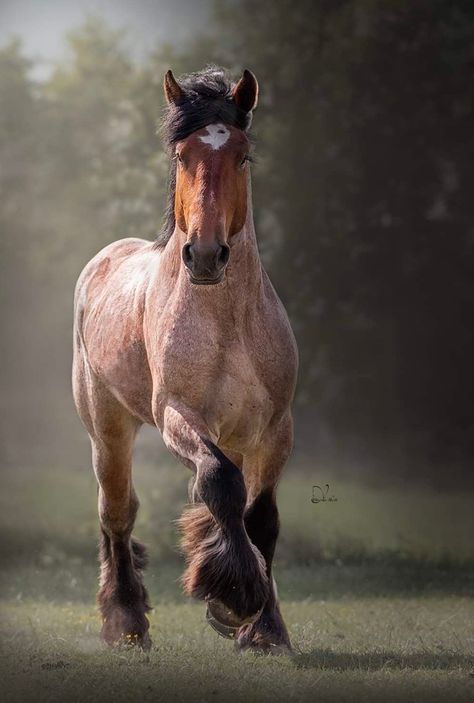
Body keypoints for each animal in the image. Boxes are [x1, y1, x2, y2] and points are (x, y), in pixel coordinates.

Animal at [72, 66, 298, 656]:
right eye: (181, 156)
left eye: (243, 155)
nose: (205, 254)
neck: (227, 321)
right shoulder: (179, 416)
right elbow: (219, 483)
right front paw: (235, 597)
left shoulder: (274, 428)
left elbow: (261, 515)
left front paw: (265, 629)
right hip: (108, 430)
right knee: (117, 513)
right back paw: (127, 622)